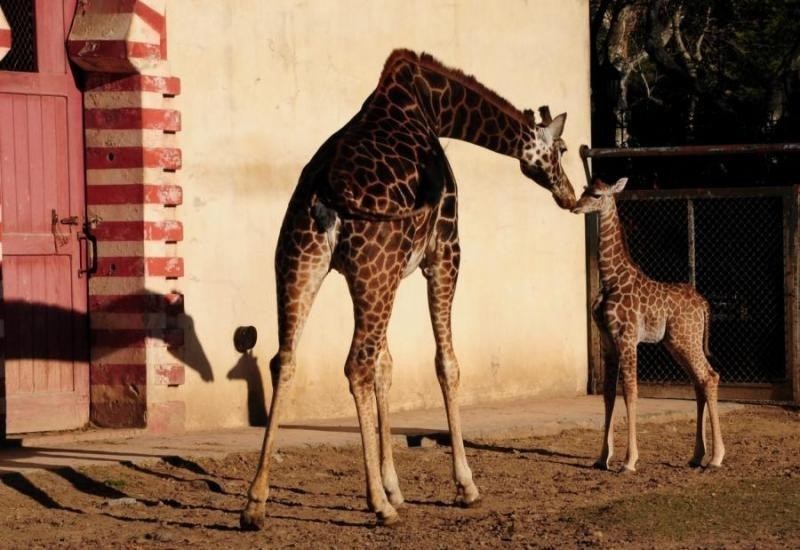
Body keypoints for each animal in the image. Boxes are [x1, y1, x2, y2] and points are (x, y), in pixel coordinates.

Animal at [240, 49, 577, 530]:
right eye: (563, 149)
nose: (569, 195)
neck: (435, 105)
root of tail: (325, 194)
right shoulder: (445, 251)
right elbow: (445, 365)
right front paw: (463, 486)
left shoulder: (387, 273)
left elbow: (387, 366)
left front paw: (395, 487)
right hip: (372, 270)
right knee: (354, 366)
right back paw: (376, 506)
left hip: (302, 263)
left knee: (284, 360)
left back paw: (256, 502)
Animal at [572, 177, 725, 472]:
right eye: (584, 191)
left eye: (596, 195)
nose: (575, 206)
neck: (611, 279)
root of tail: (704, 304)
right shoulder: (609, 342)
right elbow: (609, 395)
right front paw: (602, 458)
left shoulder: (627, 337)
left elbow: (630, 392)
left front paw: (629, 461)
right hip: (675, 342)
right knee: (699, 381)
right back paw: (696, 455)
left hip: (685, 339)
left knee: (709, 376)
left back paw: (716, 458)